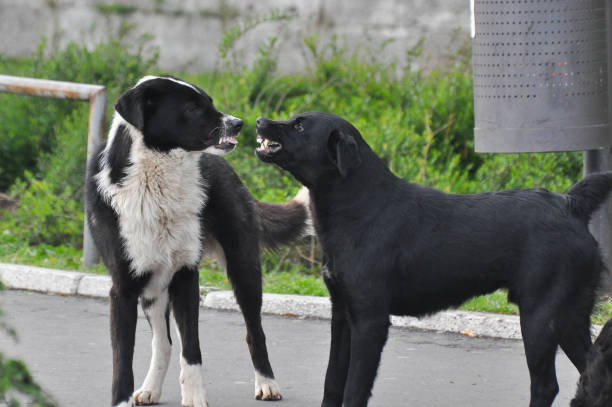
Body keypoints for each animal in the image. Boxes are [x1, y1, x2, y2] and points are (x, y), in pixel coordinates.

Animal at [86, 77, 310, 407]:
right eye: (192, 107)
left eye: (209, 102)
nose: (239, 123)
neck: (158, 180)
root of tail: (227, 169)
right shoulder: (124, 289)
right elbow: (123, 360)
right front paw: (123, 400)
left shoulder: (186, 277)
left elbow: (191, 350)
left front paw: (194, 397)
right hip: (152, 289)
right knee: (162, 342)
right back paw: (151, 389)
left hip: (244, 269)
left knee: (254, 332)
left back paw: (267, 384)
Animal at [256, 112, 612, 407]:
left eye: (300, 126)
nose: (260, 121)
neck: (359, 205)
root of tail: (569, 203)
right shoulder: (342, 315)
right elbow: (332, 383)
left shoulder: (370, 321)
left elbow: (355, 389)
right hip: (569, 319)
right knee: (591, 372)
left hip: (540, 318)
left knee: (546, 385)